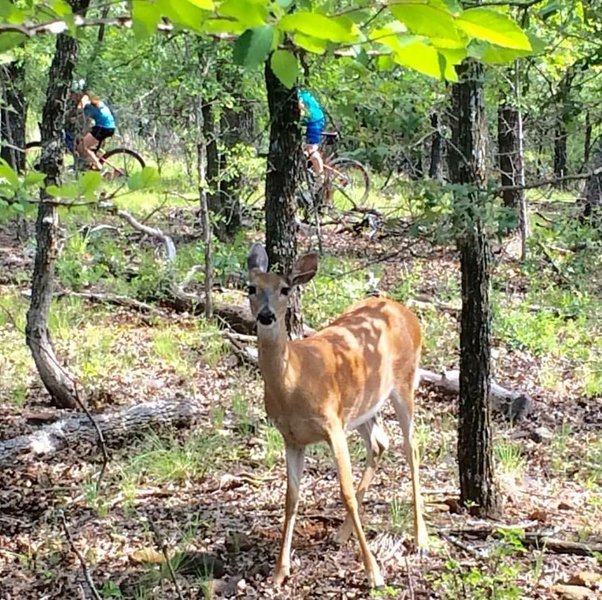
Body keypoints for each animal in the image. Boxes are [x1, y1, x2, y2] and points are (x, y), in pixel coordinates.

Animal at [245, 243, 426, 584]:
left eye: (285, 289)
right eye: (251, 288)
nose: (266, 315)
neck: (293, 381)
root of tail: (406, 313)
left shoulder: (333, 424)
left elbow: (346, 493)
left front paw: (373, 573)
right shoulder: (292, 438)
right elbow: (291, 498)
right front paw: (279, 572)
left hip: (404, 381)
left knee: (411, 447)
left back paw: (421, 537)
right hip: (363, 405)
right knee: (380, 443)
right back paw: (342, 534)